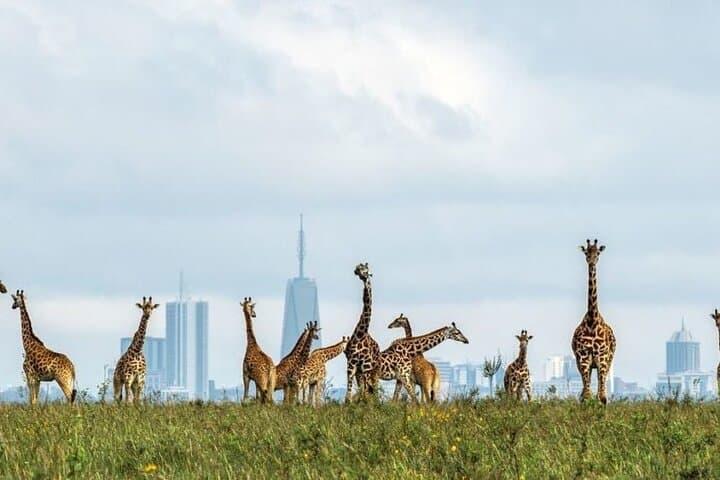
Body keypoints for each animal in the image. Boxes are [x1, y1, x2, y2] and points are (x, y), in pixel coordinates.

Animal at [344, 262, 381, 402]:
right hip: (360, 371)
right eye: (359, 267)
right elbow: (349, 395)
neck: (361, 334)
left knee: (372, 389)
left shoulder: (366, 366)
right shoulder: (351, 364)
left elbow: (365, 392)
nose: (357, 270)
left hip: (374, 370)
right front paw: (350, 402)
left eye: (365, 269)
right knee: (366, 389)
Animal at [572, 238, 616, 404]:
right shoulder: (583, 359)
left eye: (597, 253)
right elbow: (586, 396)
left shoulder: (602, 358)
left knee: (600, 390)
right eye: (586, 252)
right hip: (586, 364)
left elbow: (602, 397)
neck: (592, 320)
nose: (591, 261)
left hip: (607, 361)